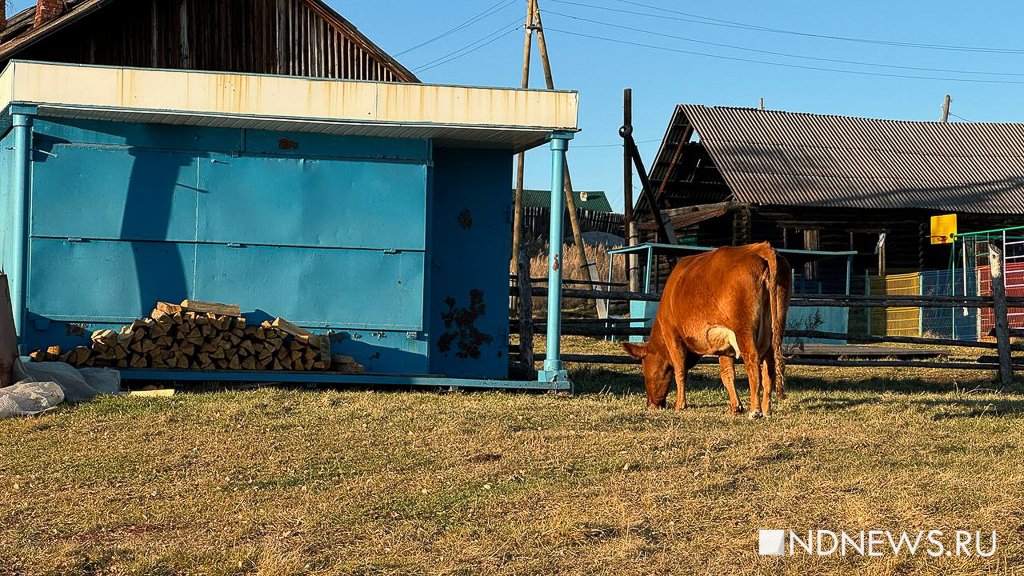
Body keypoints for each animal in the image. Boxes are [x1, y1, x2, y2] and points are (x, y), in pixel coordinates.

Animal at [618, 241, 786, 416]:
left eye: (643, 369)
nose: (650, 404)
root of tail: (762, 247)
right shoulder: (724, 347)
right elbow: (727, 374)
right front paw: (736, 407)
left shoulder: (673, 336)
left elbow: (680, 371)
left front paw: (680, 404)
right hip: (775, 329)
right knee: (769, 368)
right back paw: (766, 410)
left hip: (744, 330)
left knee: (753, 362)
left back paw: (755, 410)